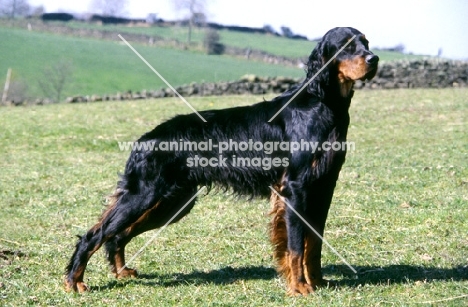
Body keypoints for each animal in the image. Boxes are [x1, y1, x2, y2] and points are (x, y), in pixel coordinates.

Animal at [66, 26, 378, 296]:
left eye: (366, 42)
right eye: (347, 46)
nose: (374, 59)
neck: (321, 102)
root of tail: (145, 139)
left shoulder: (323, 187)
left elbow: (314, 243)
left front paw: (318, 281)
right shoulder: (296, 188)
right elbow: (295, 246)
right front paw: (300, 287)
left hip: (171, 203)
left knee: (117, 235)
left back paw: (121, 272)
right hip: (145, 195)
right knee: (94, 235)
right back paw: (74, 281)